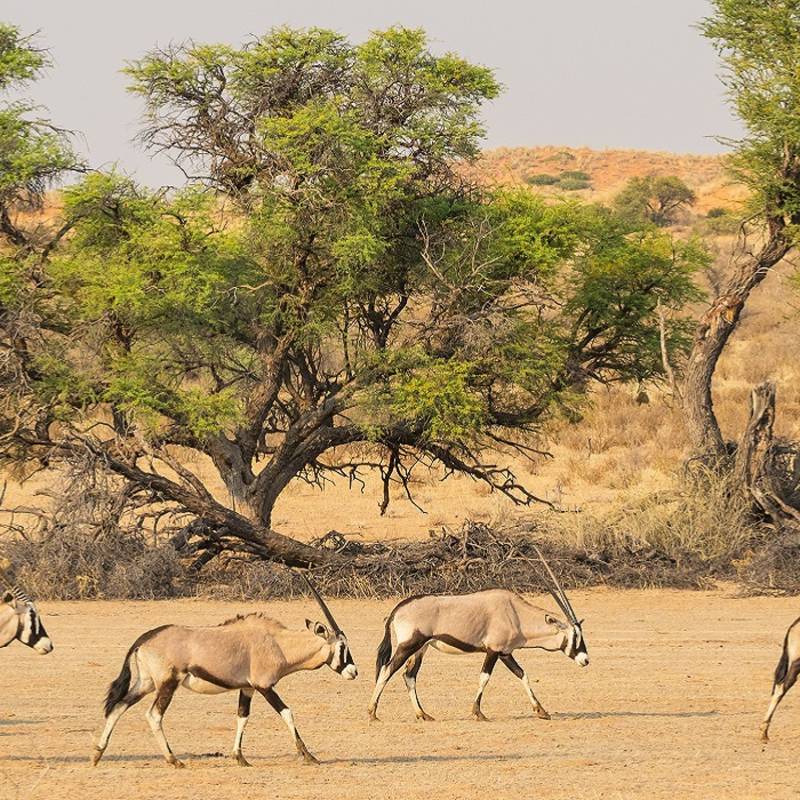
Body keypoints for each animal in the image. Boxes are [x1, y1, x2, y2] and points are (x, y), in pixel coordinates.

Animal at [93, 576, 356, 768]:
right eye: (342, 646)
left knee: (119, 706)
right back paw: (173, 760)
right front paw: (309, 756)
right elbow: (287, 713)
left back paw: (97, 753)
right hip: (167, 684)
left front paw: (240, 758)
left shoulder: (248, 688)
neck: (278, 643)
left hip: (146, 684)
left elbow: (242, 716)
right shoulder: (264, 687)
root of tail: (144, 639)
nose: (354, 672)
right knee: (154, 715)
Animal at [368, 552, 588, 724]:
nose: (585, 660)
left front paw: (541, 711)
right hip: (408, 645)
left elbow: (522, 674)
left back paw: (423, 714)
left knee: (409, 675)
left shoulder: (505, 653)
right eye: (575, 635)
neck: (515, 613)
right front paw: (478, 713)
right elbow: (484, 677)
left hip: (421, 648)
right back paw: (372, 713)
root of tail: (397, 609)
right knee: (387, 669)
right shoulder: (493, 651)